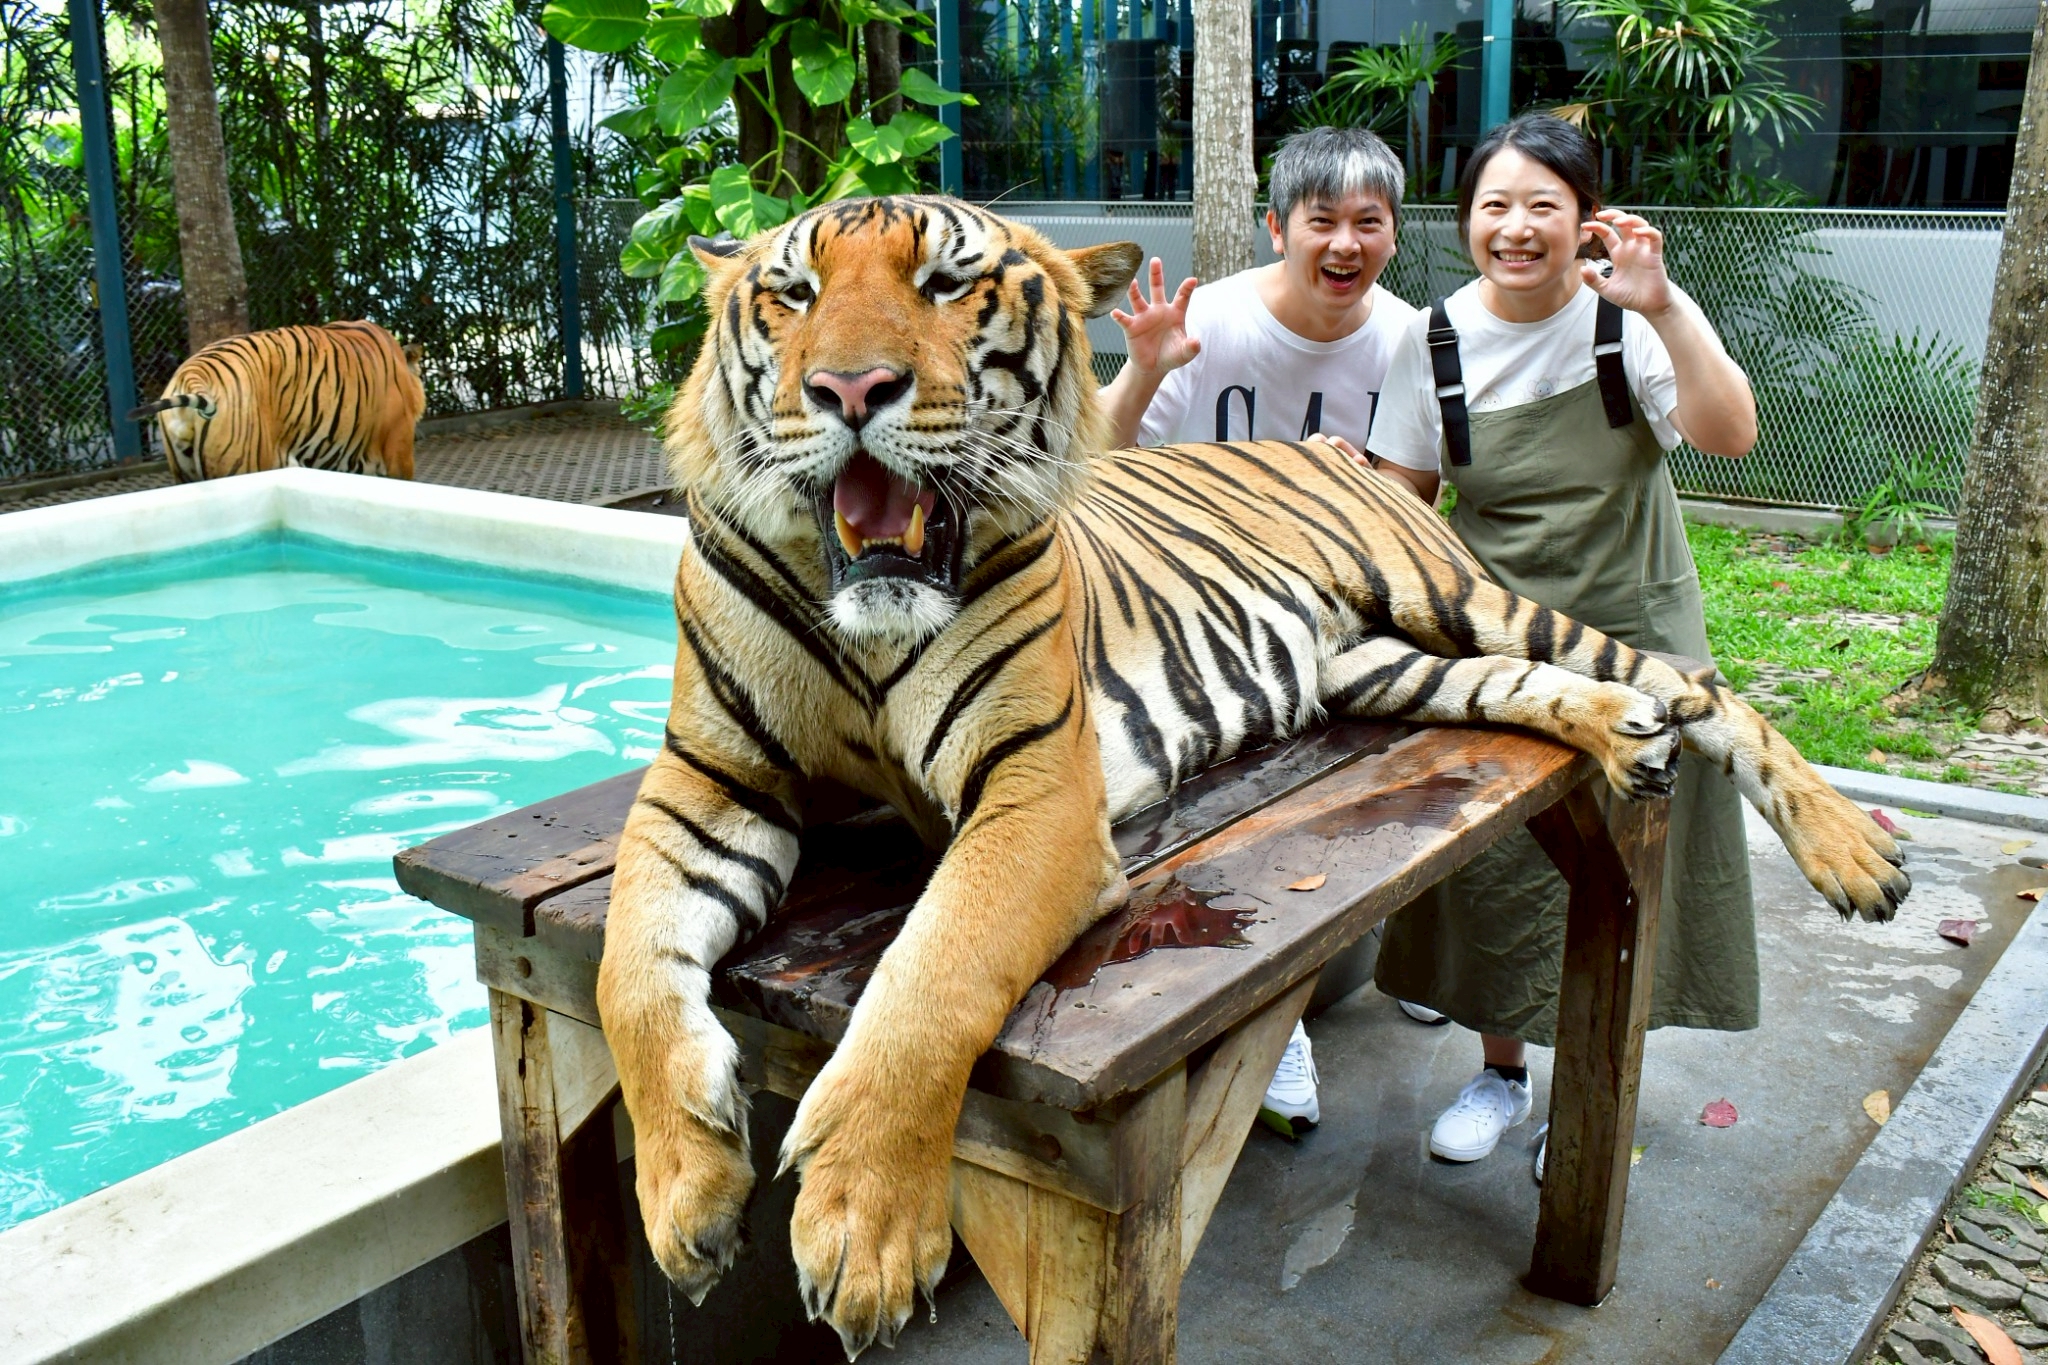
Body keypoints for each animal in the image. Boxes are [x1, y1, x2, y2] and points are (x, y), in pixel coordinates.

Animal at [599, 194, 1911, 1357]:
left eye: (946, 283)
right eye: (791, 294)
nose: (848, 392)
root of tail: (1332, 446)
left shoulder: (1035, 796)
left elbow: (929, 976)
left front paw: (863, 1231)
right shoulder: (705, 781)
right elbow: (628, 971)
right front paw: (684, 1203)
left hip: (1453, 595)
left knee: (1695, 686)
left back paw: (1856, 856)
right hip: (1389, 665)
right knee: (1555, 689)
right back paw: (1621, 734)